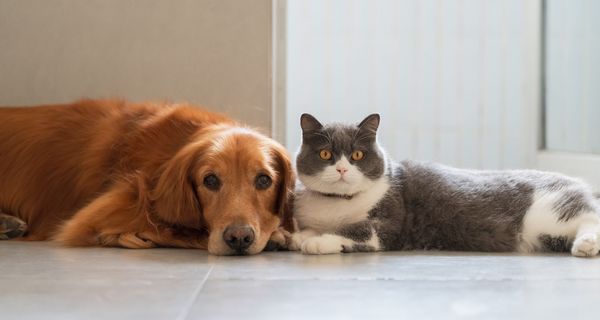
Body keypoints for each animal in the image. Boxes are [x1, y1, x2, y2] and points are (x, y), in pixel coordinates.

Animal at [290, 114, 600, 256]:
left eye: (357, 155)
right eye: (325, 154)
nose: (342, 169)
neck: (337, 203)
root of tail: (576, 183)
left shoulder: (387, 224)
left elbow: (356, 229)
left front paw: (317, 242)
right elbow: (312, 228)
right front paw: (298, 236)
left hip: (549, 214)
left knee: (589, 218)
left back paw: (586, 245)